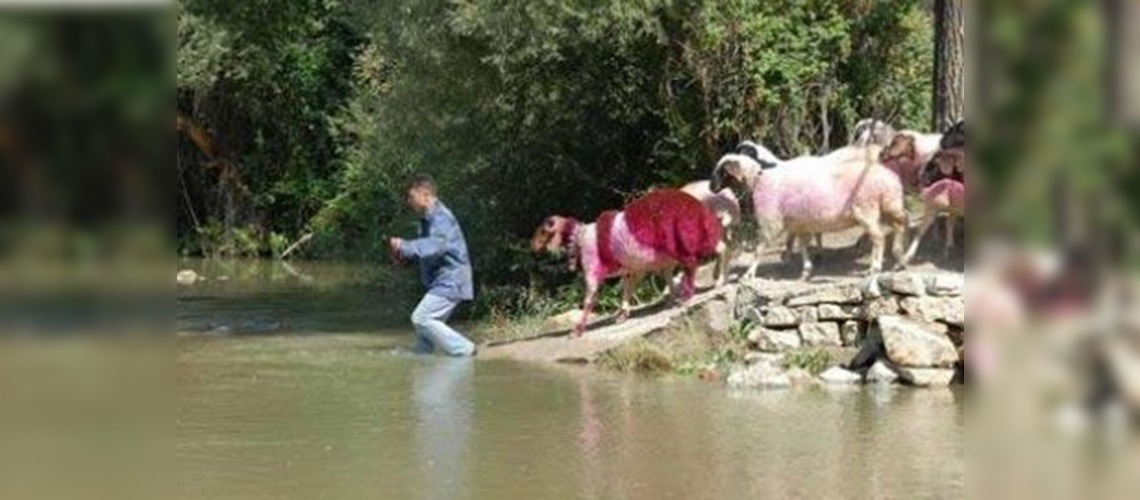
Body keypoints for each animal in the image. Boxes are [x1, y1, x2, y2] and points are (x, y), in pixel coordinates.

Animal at [531, 189, 720, 337]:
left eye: (542, 231)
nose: (531, 245)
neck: (580, 238)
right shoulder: (634, 269)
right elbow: (628, 290)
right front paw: (622, 315)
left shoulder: (593, 270)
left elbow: (589, 300)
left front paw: (577, 330)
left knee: (704, 257)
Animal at [711, 144, 907, 282]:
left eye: (722, 171)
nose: (711, 187)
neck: (759, 181)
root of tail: (888, 178)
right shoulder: (800, 224)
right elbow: (803, 246)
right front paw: (806, 271)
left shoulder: (771, 223)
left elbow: (759, 250)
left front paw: (749, 274)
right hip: (890, 205)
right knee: (900, 224)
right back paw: (899, 259)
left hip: (866, 210)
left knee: (879, 237)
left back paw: (875, 267)